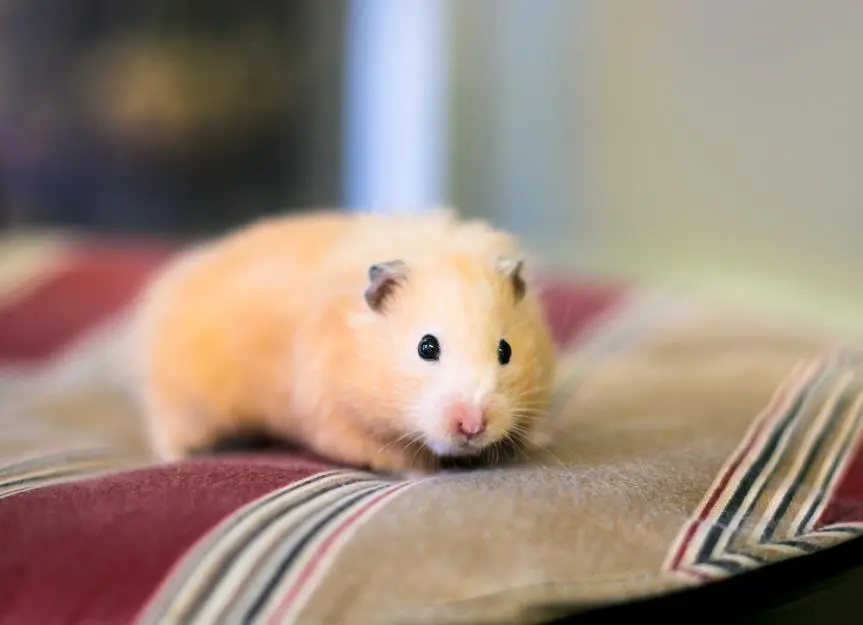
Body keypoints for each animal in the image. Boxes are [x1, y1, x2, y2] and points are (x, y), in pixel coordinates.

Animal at [130, 208, 557, 475]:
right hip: (184, 401)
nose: (472, 425)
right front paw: (418, 470)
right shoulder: (337, 419)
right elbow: (392, 456)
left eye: (505, 351)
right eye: (427, 347)